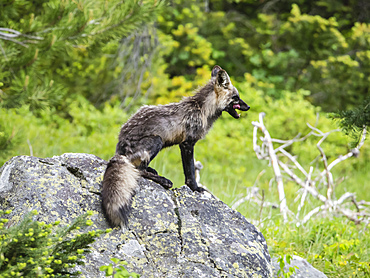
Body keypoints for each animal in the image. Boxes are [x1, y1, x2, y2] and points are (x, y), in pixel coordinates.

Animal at [102, 66, 250, 227]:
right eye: (236, 97)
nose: (248, 106)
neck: (202, 109)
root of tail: (119, 147)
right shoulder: (187, 144)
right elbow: (190, 171)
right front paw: (195, 188)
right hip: (157, 141)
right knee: (139, 170)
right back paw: (162, 180)